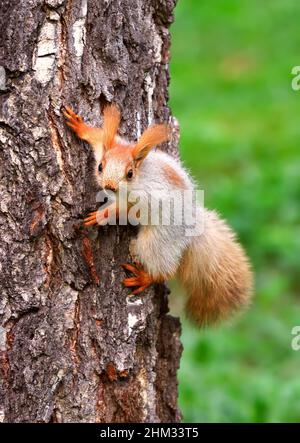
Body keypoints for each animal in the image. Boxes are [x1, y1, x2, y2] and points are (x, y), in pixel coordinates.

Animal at [63, 104, 253, 326]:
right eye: (100, 166)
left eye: (129, 174)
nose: (109, 187)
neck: (140, 176)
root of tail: (192, 229)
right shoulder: (108, 145)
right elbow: (98, 138)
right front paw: (80, 125)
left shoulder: (144, 198)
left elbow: (125, 209)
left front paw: (104, 214)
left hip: (157, 240)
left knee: (163, 269)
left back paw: (144, 277)